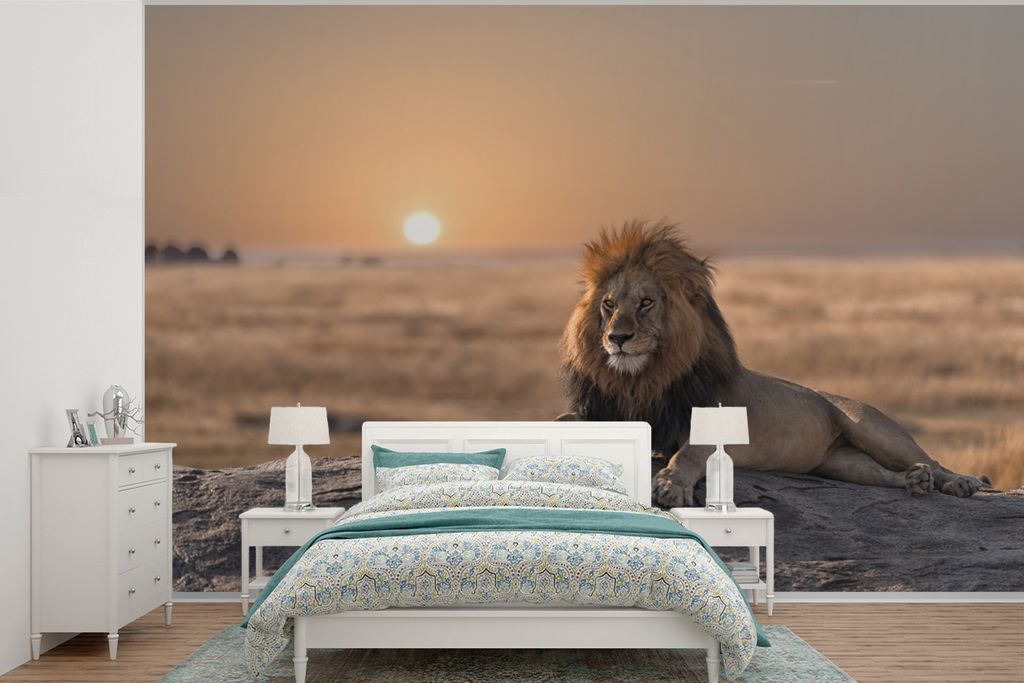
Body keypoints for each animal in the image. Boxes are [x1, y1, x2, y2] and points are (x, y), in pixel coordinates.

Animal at [557, 220, 991, 508]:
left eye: (646, 303)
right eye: (609, 304)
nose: (617, 338)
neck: (643, 379)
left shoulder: (708, 424)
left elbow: (690, 453)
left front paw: (669, 486)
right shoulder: (607, 412)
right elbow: (564, 422)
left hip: (872, 427)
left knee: (933, 460)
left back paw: (960, 483)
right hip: (840, 464)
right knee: (884, 474)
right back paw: (914, 482)